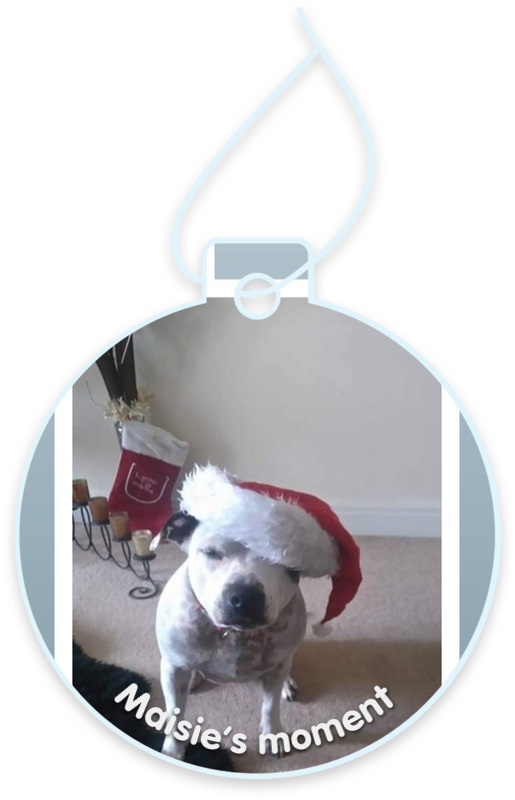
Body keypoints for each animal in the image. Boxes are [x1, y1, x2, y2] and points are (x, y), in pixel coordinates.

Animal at [155, 464, 362, 761]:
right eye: (210, 552)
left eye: (287, 562)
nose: (245, 597)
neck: (234, 636)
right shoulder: (172, 670)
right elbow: (175, 714)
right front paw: (173, 750)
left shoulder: (276, 667)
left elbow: (269, 706)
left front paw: (273, 735)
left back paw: (287, 683)